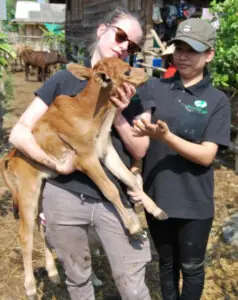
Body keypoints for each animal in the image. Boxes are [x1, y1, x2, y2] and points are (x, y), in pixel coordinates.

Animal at [0, 56, 167, 300]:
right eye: (127, 71)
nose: (146, 74)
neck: (94, 114)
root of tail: (10, 156)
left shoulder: (105, 152)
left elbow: (128, 179)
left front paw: (156, 210)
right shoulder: (86, 158)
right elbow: (110, 189)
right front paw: (133, 226)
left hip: (40, 188)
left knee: (41, 225)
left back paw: (52, 272)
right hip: (26, 192)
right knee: (25, 234)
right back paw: (30, 286)